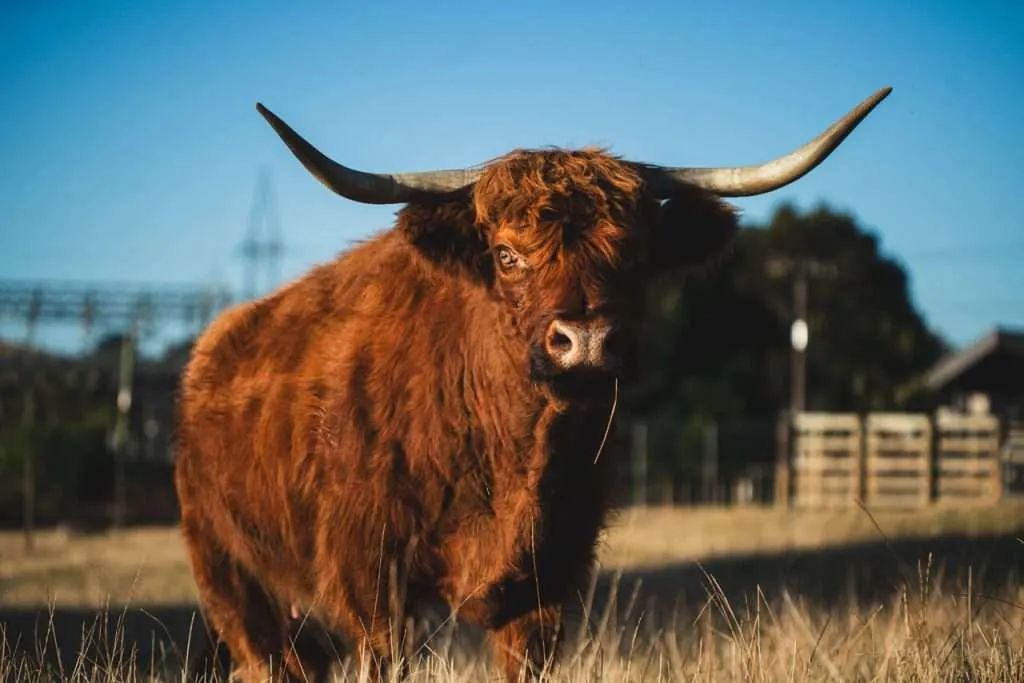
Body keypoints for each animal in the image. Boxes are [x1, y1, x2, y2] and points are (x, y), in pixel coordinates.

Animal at [174, 86, 892, 683]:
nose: (588, 341)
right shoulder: (372, 582)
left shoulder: (548, 583)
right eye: (507, 255)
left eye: (635, 255)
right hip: (228, 575)